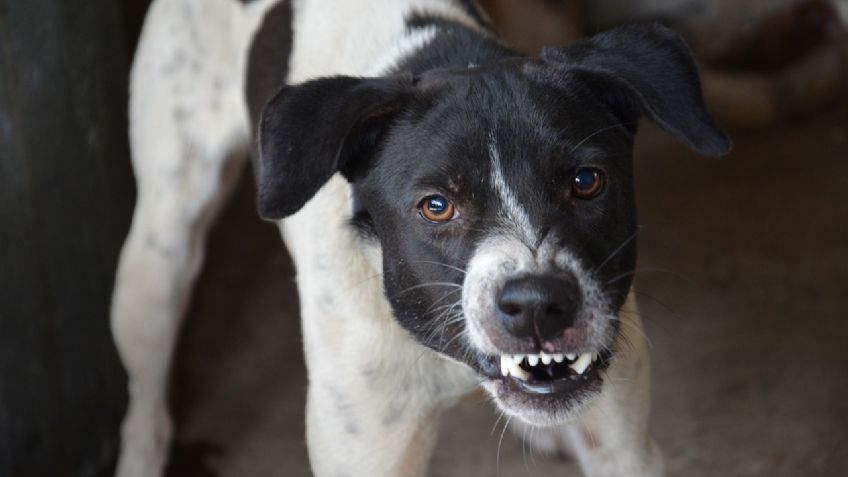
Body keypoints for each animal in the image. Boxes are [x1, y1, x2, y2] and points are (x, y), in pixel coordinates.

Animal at [109, 0, 732, 476]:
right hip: (158, 256)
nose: (538, 305)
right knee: (145, 401)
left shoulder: (624, 447)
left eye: (586, 181)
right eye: (436, 206)